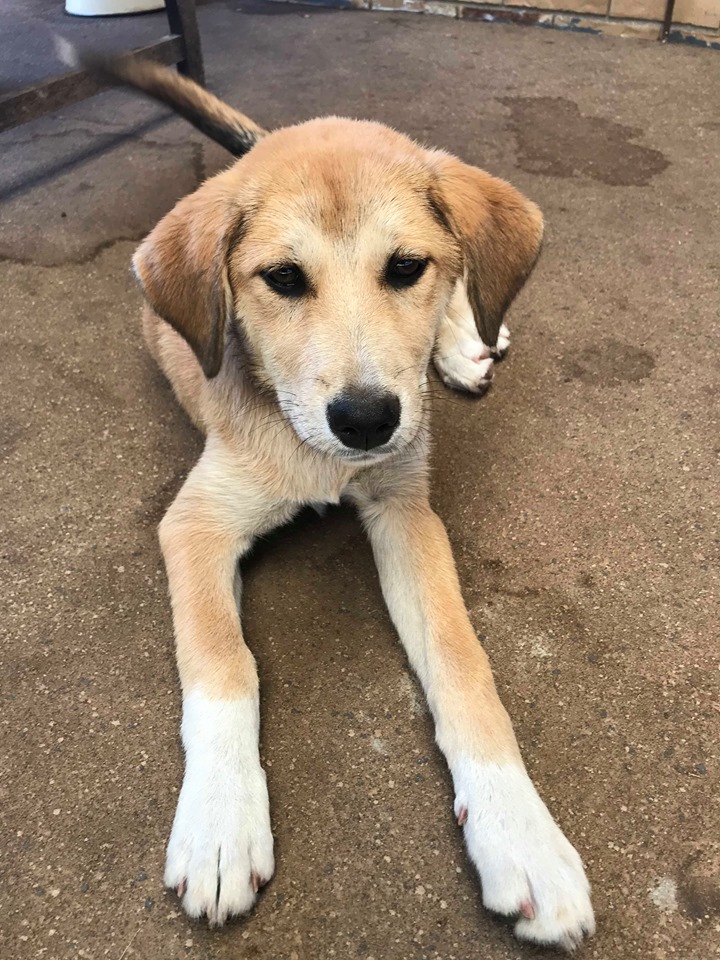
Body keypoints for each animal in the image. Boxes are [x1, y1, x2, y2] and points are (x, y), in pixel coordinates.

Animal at [75, 53, 595, 950]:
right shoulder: (196, 525)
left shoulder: (406, 511)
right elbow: (224, 665)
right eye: (282, 279)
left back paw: (466, 340)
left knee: (474, 285)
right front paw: (219, 823)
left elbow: (462, 664)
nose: (366, 420)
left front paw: (521, 833)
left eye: (406, 268)